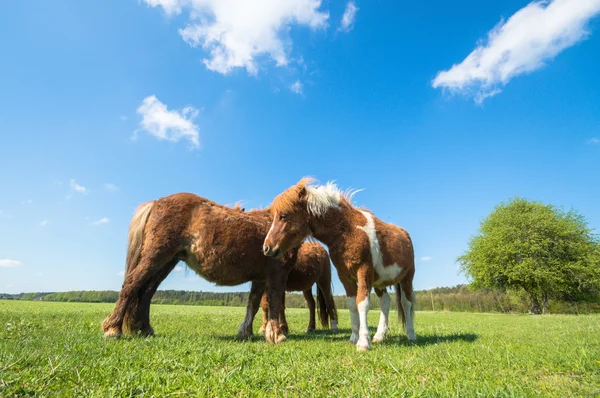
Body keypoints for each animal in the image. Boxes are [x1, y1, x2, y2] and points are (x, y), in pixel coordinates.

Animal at [104, 192, 298, 342]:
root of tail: (156, 203)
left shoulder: (260, 278)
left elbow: (254, 304)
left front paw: (248, 333)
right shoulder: (277, 274)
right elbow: (276, 303)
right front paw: (278, 334)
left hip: (167, 262)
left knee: (146, 292)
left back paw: (144, 329)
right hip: (155, 256)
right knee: (132, 283)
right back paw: (113, 329)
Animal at [264, 180, 414, 352]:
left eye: (283, 216)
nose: (266, 248)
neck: (348, 231)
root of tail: (404, 234)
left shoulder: (364, 271)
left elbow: (362, 303)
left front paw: (363, 342)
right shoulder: (345, 276)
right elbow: (352, 304)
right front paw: (354, 337)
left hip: (407, 277)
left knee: (406, 303)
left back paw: (411, 335)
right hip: (379, 282)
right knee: (385, 303)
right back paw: (379, 336)